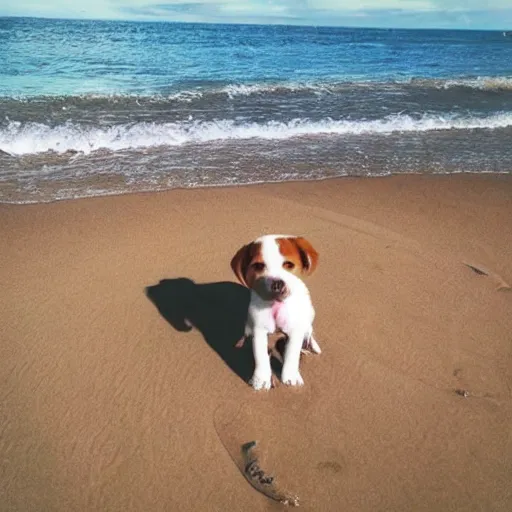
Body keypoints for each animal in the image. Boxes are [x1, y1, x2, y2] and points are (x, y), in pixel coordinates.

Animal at [231, 234, 320, 390]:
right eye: (258, 266)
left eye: (289, 265)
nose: (277, 284)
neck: (276, 305)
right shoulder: (259, 331)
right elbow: (261, 356)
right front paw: (261, 379)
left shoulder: (294, 332)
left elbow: (292, 354)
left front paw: (291, 376)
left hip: (309, 313)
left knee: (308, 330)